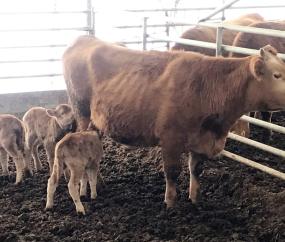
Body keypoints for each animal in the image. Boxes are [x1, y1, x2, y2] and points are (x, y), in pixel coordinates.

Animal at [62, 35, 285, 207]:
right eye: (277, 75)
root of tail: (84, 38)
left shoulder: (200, 139)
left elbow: (196, 169)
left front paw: (196, 198)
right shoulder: (170, 139)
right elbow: (172, 172)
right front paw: (171, 202)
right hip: (82, 113)